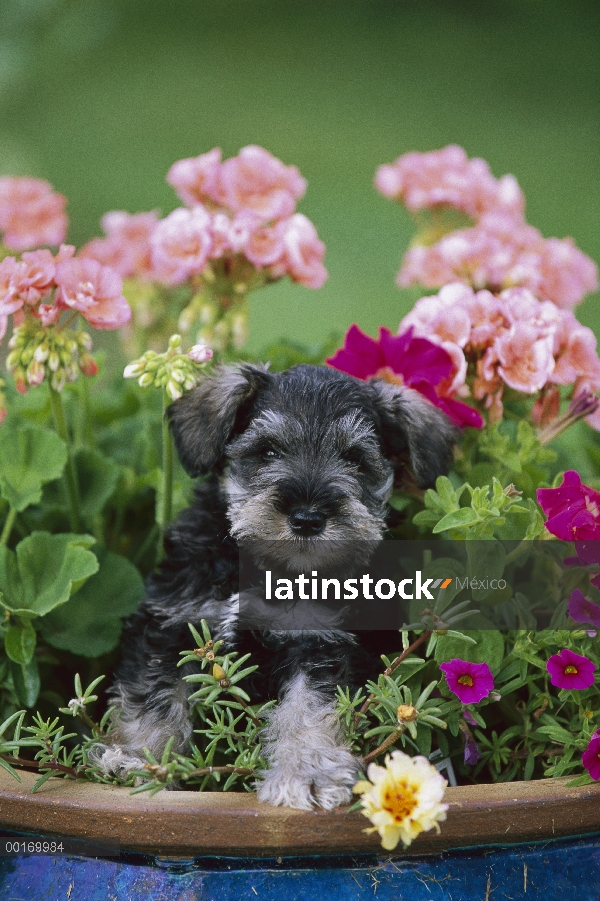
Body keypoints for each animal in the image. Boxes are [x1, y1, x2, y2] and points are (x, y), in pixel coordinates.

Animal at [94, 364, 458, 808]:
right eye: (267, 451)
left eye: (355, 459)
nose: (307, 518)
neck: (266, 567)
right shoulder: (173, 624)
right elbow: (152, 699)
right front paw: (139, 759)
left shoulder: (317, 644)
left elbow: (307, 711)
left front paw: (308, 773)